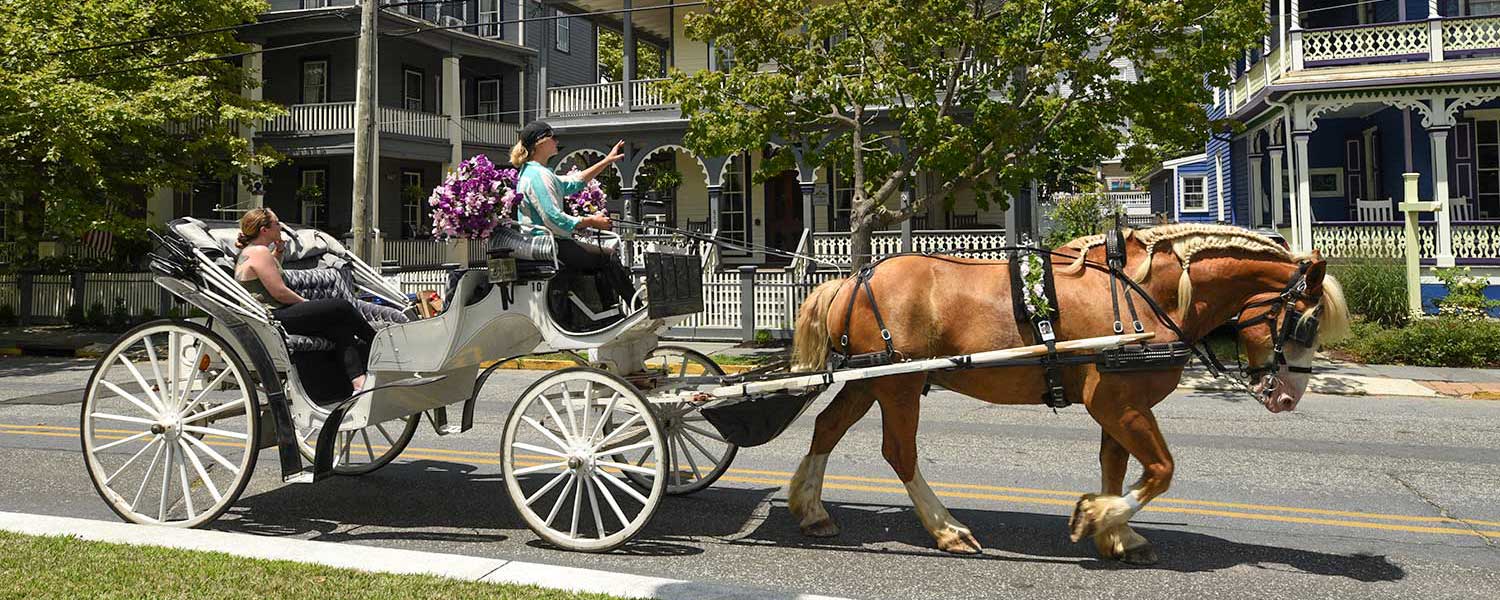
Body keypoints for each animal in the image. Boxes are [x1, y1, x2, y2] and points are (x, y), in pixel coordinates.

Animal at [792, 223, 1356, 564]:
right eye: (1304, 323)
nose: (1288, 397)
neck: (1145, 295)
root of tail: (851, 278)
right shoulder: (1116, 401)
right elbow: (1161, 470)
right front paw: (1097, 517)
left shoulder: (1121, 404)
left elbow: (1118, 465)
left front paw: (1118, 533)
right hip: (899, 383)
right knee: (899, 452)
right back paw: (947, 529)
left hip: (871, 380)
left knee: (827, 427)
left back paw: (811, 509)